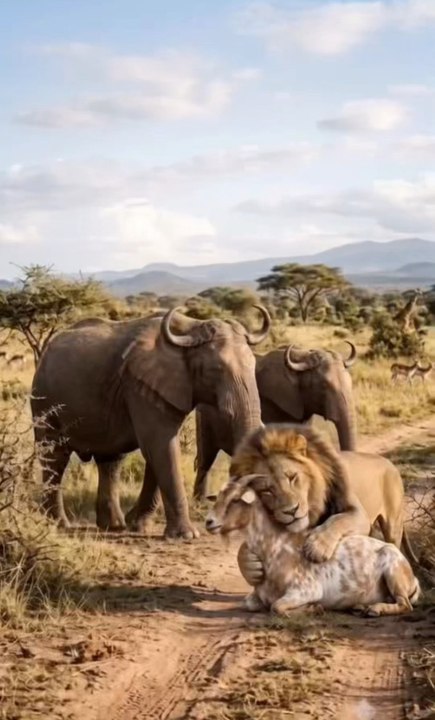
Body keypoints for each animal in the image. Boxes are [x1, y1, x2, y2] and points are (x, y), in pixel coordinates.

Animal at [205, 479, 420, 617]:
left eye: (235, 499)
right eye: (218, 498)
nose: (209, 522)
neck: (274, 550)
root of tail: (413, 578)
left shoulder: (306, 589)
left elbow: (276, 607)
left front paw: (314, 608)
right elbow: (248, 604)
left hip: (393, 573)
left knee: (405, 604)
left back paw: (374, 610)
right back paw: (360, 607)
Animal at [228, 424, 415, 588]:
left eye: (292, 477)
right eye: (267, 490)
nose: (291, 511)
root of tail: (389, 463)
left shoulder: (358, 514)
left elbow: (338, 519)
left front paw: (316, 546)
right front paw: (250, 565)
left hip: (392, 525)